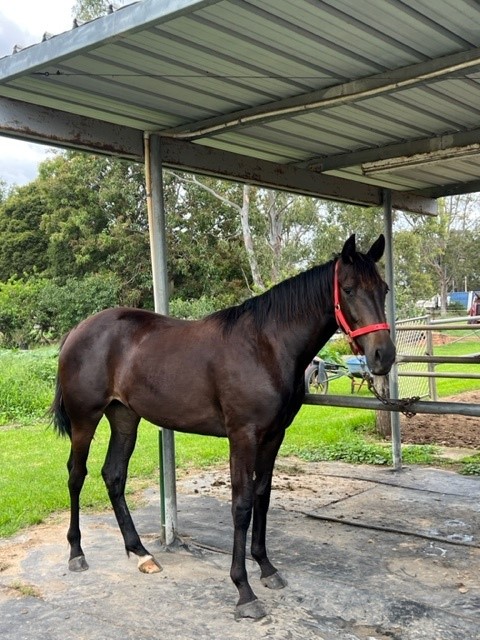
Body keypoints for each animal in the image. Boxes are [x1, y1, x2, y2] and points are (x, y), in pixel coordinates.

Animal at [50, 233, 395, 619]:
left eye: (383, 288)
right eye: (348, 289)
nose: (384, 355)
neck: (266, 346)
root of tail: (77, 331)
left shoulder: (274, 436)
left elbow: (262, 496)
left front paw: (266, 568)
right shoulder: (243, 435)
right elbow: (241, 505)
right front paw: (244, 591)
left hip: (124, 417)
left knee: (113, 476)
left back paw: (140, 553)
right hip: (85, 419)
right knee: (76, 474)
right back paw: (76, 553)